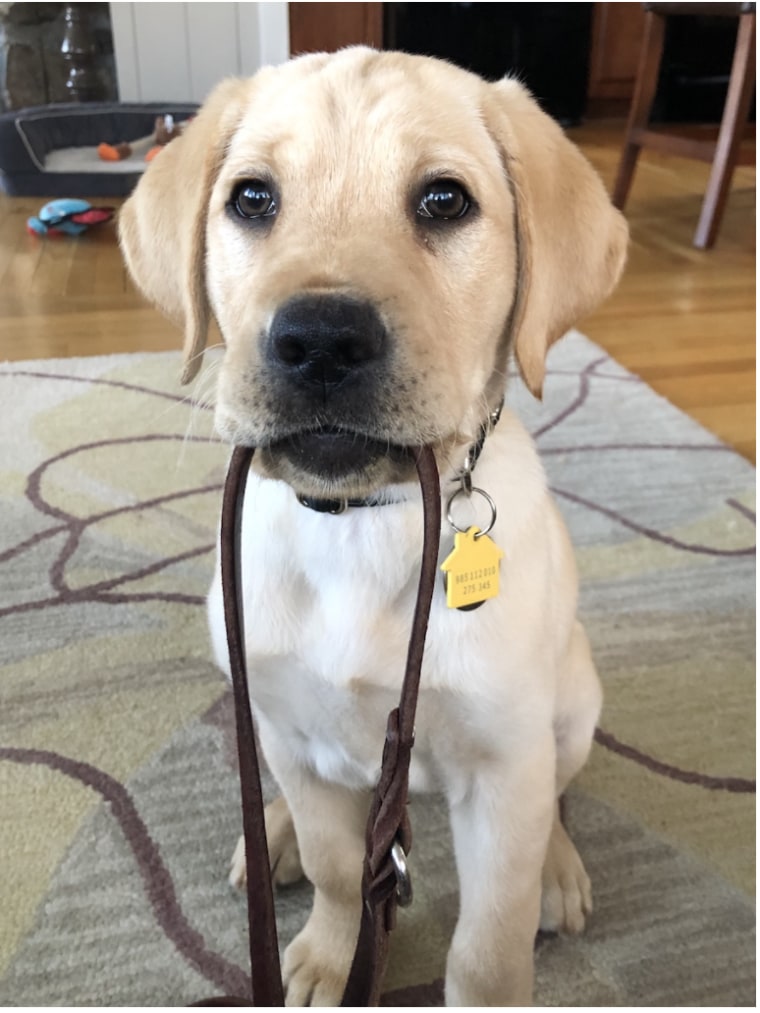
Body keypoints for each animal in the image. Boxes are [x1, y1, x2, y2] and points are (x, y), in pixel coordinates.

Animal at [122, 45, 628, 1004]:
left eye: (444, 200)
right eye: (253, 198)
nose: (320, 339)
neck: (358, 525)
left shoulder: (503, 766)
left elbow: (489, 944)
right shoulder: (295, 734)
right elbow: (332, 867)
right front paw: (328, 953)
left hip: (573, 701)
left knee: (558, 795)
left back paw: (558, 868)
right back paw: (273, 832)